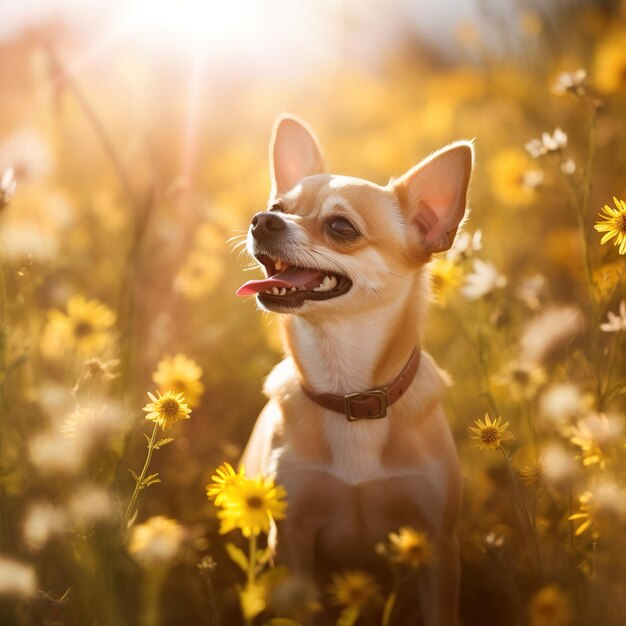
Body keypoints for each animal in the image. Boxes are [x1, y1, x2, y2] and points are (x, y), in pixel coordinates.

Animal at [236, 114, 470, 620]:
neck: (349, 393)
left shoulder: (437, 544)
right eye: (277, 206)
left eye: (341, 226)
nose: (262, 220)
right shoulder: (291, 540)